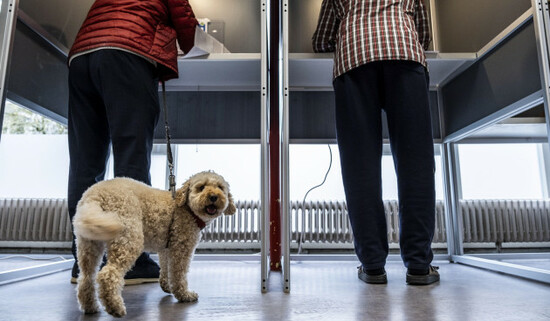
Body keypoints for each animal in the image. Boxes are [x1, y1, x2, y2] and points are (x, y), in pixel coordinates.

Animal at [73, 171, 235, 316]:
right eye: (201, 187)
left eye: (220, 187)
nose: (213, 197)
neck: (187, 208)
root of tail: (95, 195)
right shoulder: (182, 247)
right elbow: (179, 274)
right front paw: (184, 295)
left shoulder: (166, 248)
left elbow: (165, 268)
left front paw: (166, 286)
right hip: (129, 238)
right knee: (107, 274)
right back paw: (115, 307)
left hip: (88, 243)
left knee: (86, 277)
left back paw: (90, 307)